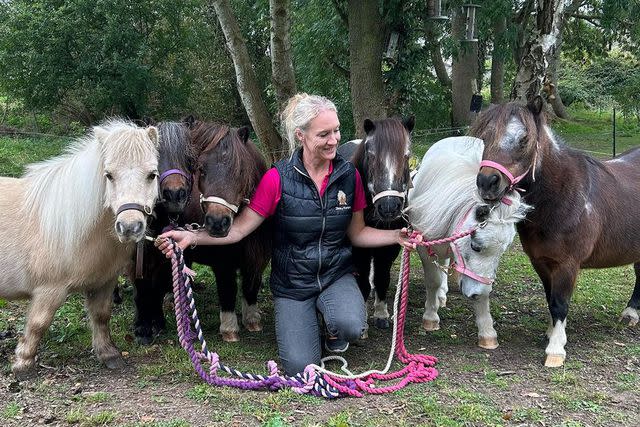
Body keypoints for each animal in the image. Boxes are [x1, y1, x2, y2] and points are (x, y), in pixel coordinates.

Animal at [0, 118, 159, 380]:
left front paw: (109, 354)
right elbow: (38, 323)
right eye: (108, 175)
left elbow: (101, 316)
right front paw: (23, 364)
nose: (129, 227)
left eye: (152, 175)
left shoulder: (104, 283)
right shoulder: (49, 290)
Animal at [182, 122, 270, 342]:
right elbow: (228, 289)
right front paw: (230, 328)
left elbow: (250, 286)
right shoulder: (223, 264)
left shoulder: (257, 259)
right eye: (201, 170)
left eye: (240, 171)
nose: (217, 223)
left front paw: (252, 320)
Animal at [410, 137, 528, 352]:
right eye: (475, 246)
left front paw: (487, 333)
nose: (474, 293)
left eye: (501, 253)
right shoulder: (424, 245)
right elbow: (433, 280)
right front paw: (430, 317)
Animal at [472, 97, 640, 368]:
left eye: (524, 139)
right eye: (484, 137)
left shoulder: (567, 264)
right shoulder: (541, 262)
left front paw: (555, 350)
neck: (563, 195)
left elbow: (560, 303)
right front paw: (552, 334)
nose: (487, 182)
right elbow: (550, 298)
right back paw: (631, 314)